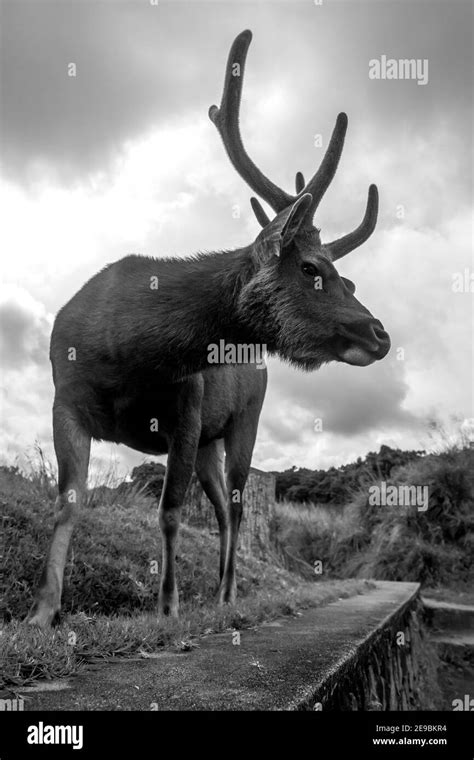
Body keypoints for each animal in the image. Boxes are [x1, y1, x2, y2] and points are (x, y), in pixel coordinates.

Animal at [28, 29, 388, 628]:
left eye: (349, 278)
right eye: (312, 269)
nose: (380, 334)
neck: (128, 353)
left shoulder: (188, 409)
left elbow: (170, 512)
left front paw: (168, 606)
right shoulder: (66, 400)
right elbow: (66, 503)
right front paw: (42, 611)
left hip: (245, 421)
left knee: (237, 510)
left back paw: (226, 594)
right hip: (210, 446)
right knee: (221, 509)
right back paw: (222, 591)